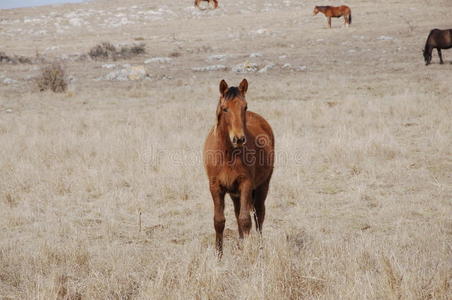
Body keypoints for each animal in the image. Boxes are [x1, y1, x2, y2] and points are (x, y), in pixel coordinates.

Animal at [203, 78, 274, 255]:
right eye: (225, 108)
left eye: (245, 106)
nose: (239, 138)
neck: (228, 154)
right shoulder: (215, 187)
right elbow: (219, 221)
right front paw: (219, 255)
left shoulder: (246, 184)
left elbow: (245, 220)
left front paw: (248, 253)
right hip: (235, 193)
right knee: (237, 213)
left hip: (262, 186)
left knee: (259, 215)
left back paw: (259, 247)